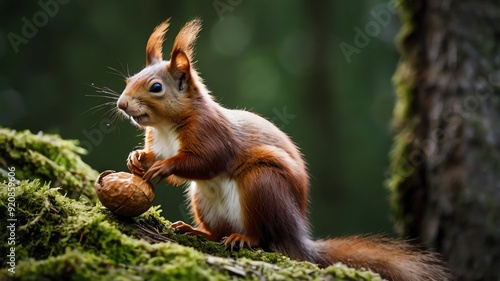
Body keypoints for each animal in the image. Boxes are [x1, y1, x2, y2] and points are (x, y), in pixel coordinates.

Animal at [118, 18, 454, 280]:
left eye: (156, 87)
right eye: (129, 79)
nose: (122, 104)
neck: (166, 127)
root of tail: (297, 236)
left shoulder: (211, 134)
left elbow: (205, 162)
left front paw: (164, 167)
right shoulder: (159, 141)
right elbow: (163, 162)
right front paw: (138, 159)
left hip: (262, 185)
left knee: (263, 238)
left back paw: (243, 239)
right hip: (203, 199)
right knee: (216, 231)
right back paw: (196, 231)